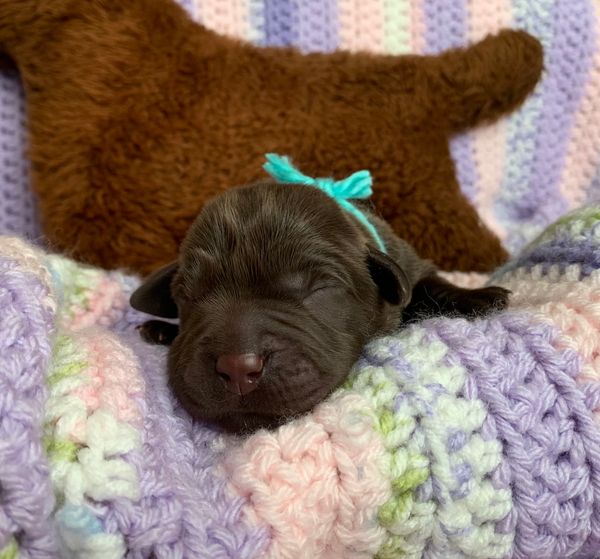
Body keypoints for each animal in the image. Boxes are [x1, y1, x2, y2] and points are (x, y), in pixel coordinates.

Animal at [130, 183, 506, 434]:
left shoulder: (412, 265)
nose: (238, 368)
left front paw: (480, 296)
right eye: (188, 294)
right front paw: (163, 327)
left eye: (318, 287)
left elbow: (432, 285)